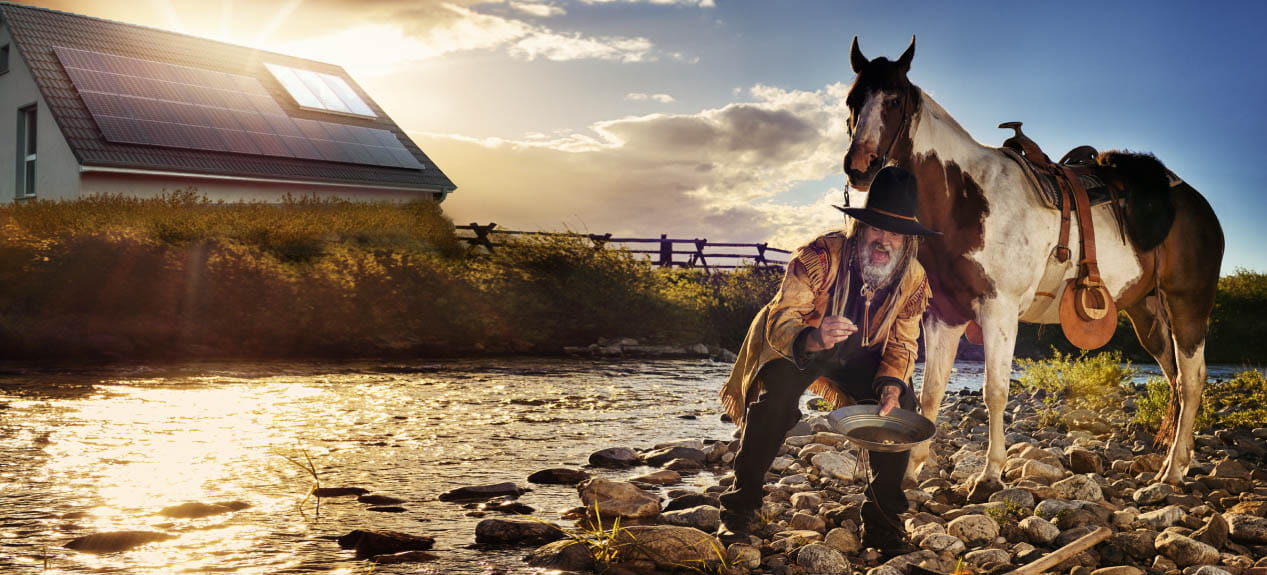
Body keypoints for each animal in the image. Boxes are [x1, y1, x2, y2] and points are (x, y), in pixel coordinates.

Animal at [846, 37, 1221, 493]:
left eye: (895, 99)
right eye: (852, 100)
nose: (859, 166)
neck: (965, 199)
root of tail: (1198, 205)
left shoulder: (999, 311)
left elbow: (994, 392)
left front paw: (990, 473)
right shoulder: (943, 315)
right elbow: (932, 391)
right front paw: (912, 469)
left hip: (1187, 308)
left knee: (1193, 380)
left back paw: (1173, 470)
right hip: (1147, 313)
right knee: (1176, 382)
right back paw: (1172, 463)